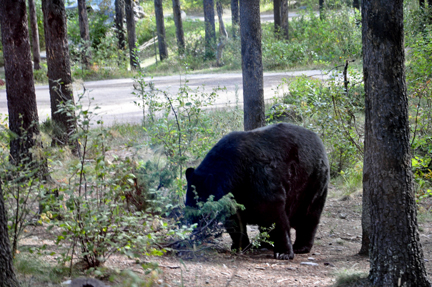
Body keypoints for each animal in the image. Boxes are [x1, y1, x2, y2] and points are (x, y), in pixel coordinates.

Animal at [184, 124, 330, 260]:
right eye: (188, 204)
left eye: (200, 206)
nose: (193, 226)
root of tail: (317, 138)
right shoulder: (235, 196)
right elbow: (235, 220)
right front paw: (240, 246)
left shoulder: (259, 178)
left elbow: (273, 212)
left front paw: (284, 252)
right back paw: (265, 243)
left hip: (312, 182)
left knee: (308, 215)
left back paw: (301, 246)